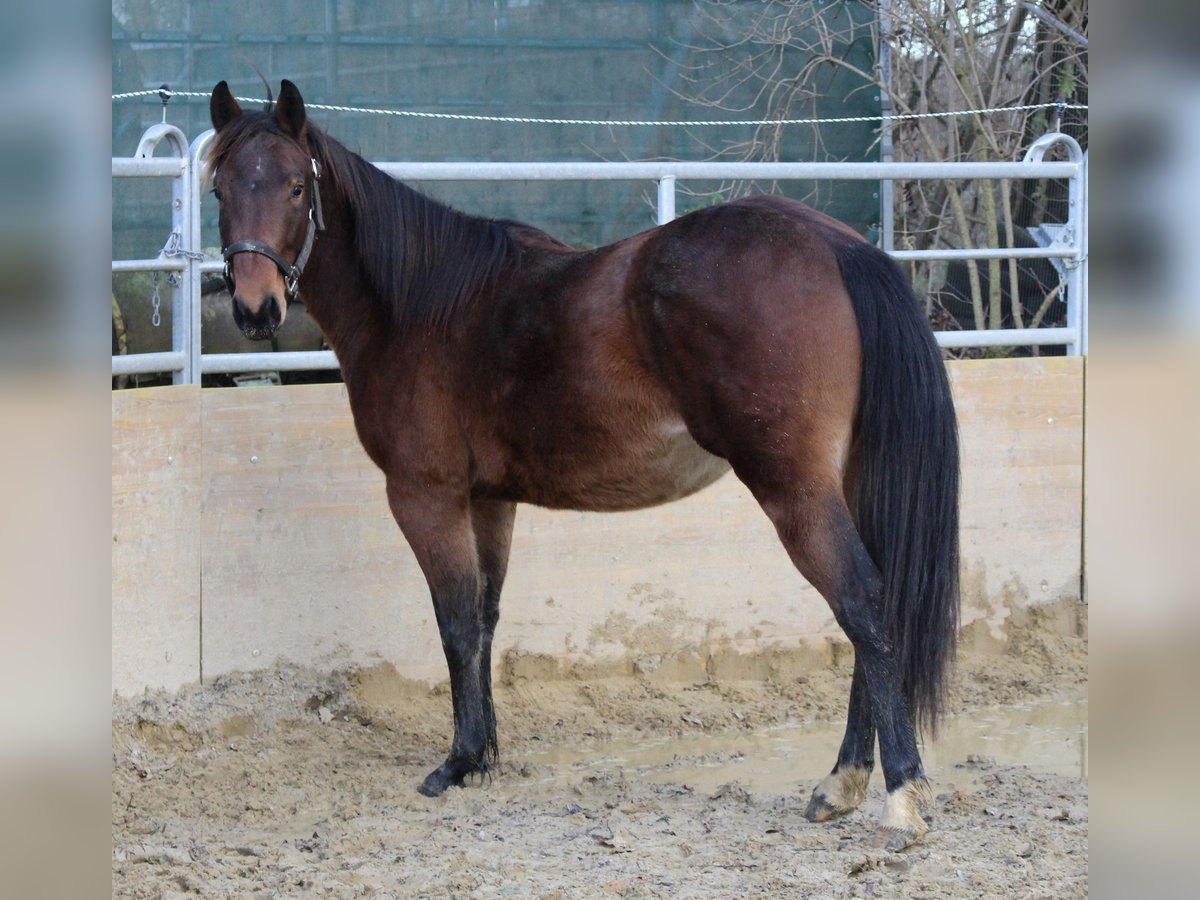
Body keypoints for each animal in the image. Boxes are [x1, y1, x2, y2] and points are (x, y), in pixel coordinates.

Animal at [206, 79, 955, 854]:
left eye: (296, 187)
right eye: (219, 188)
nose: (255, 308)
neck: (421, 304)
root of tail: (838, 245)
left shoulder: (424, 497)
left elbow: (454, 623)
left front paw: (455, 763)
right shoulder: (489, 500)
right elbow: (484, 618)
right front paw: (484, 757)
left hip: (793, 488)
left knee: (863, 604)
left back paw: (897, 792)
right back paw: (841, 783)